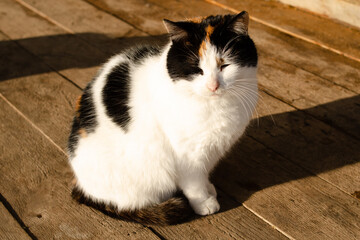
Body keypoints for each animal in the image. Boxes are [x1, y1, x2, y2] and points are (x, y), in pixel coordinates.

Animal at [67, 11, 258, 225]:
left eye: (225, 65)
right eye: (196, 69)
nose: (213, 86)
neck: (216, 106)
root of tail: (81, 187)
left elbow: (204, 174)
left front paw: (209, 187)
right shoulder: (186, 155)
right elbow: (194, 184)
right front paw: (204, 202)